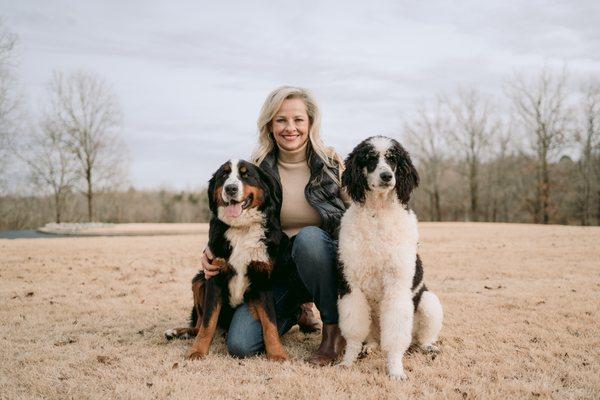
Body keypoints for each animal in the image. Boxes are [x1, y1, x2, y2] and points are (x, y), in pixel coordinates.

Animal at [165, 160, 290, 362]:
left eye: (246, 175)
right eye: (224, 175)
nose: (230, 188)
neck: (241, 229)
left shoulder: (263, 280)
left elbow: (270, 323)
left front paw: (277, 354)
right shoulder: (214, 277)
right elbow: (208, 323)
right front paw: (197, 351)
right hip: (198, 280)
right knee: (198, 325)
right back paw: (177, 332)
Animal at [340, 136, 442, 380]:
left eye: (393, 159)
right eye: (370, 158)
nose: (387, 176)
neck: (377, 214)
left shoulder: (397, 286)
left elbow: (396, 337)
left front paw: (395, 370)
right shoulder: (352, 285)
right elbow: (353, 331)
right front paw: (348, 361)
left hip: (429, 303)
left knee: (420, 338)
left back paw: (428, 347)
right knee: (374, 339)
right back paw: (368, 348)